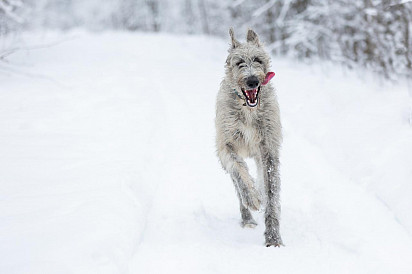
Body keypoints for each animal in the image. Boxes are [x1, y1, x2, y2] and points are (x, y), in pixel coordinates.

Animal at [212, 28, 284, 247]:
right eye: (239, 62)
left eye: (258, 59)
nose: (252, 80)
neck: (248, 110)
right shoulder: (226, 145)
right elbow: (239, 171)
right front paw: (252, 198)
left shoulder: (269, 149)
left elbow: (271, 191)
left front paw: (273, 238)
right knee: (237, 181)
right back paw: (248, 218)